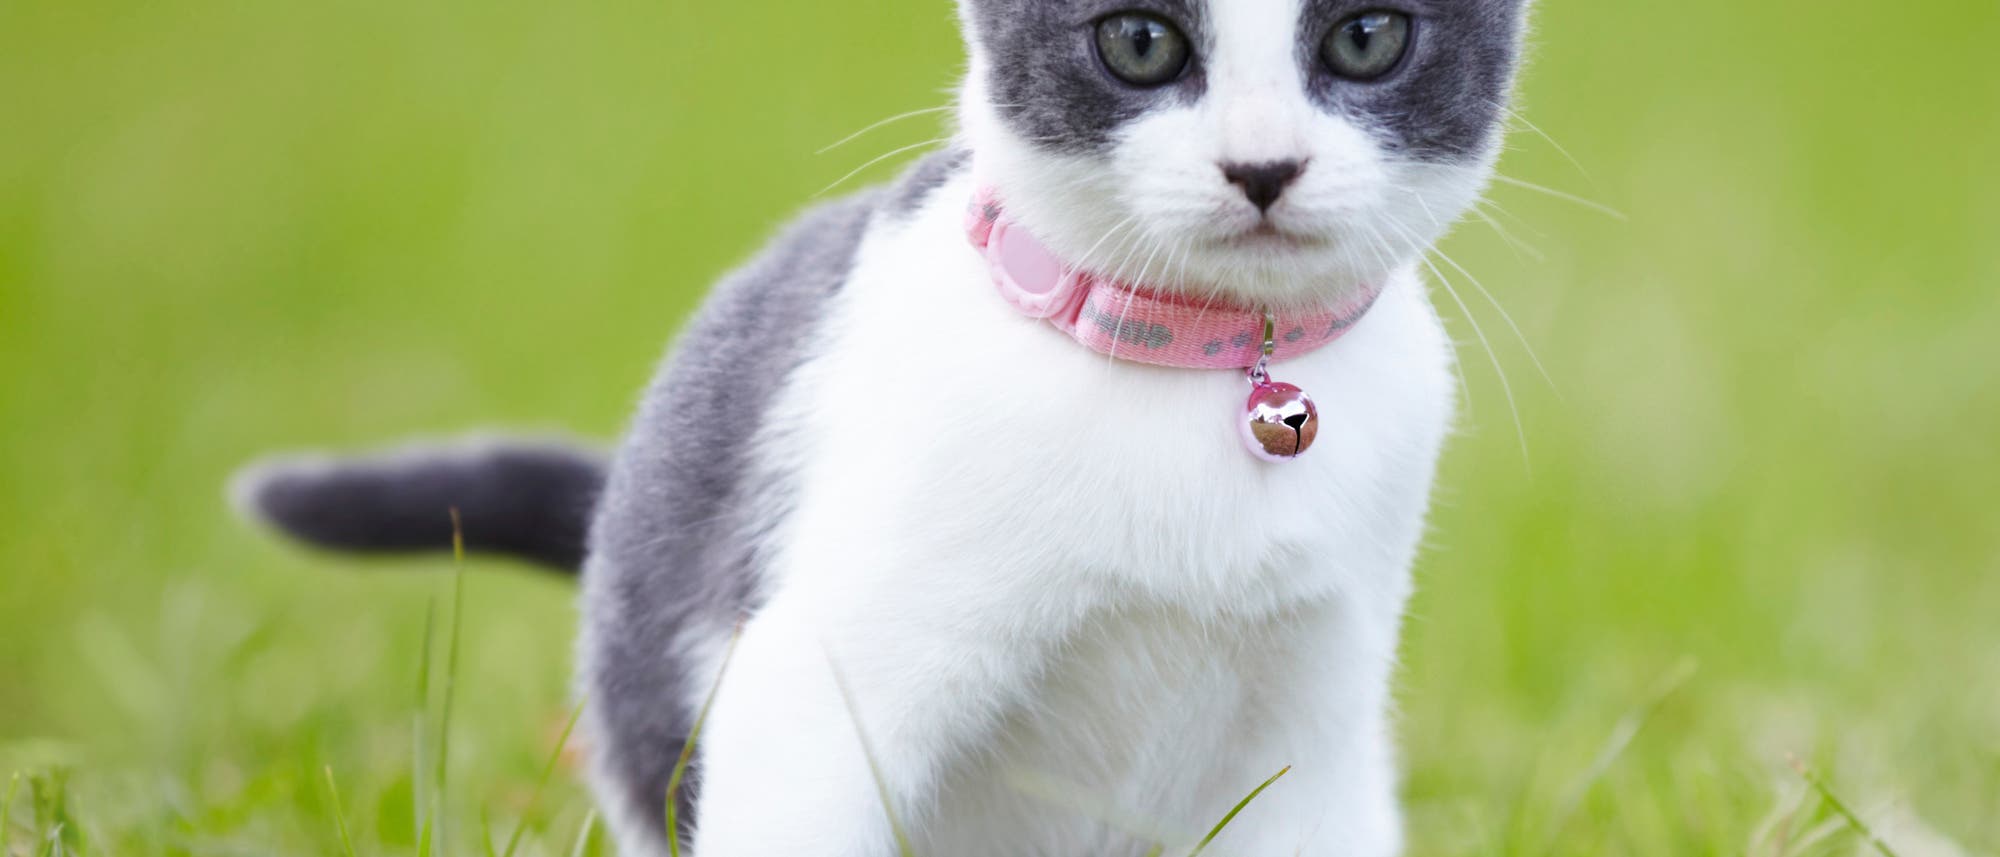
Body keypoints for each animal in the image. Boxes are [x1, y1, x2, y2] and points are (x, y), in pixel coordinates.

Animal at [238, 3, 1528, 852]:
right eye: (1139, 41)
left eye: (1364, 39)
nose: (1261, 165)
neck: (1198, 371)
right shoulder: (811, 687)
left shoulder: (1318, 726)